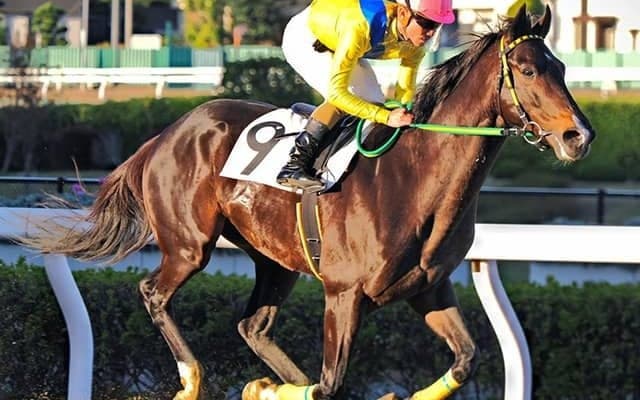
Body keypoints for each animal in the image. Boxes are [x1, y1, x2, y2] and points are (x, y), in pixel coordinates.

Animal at [26, 5, 594, 400]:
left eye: (562, 67)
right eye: (527, 69)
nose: (580, 136)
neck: (413, 178)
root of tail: (166, 134)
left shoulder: (428, 288)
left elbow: (466, 358)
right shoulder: (343, 295)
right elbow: (329, 382)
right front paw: (261, 388)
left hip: (275, 259)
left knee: (252, 325)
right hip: (189, 245)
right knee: (154, 293)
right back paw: (190, 379)